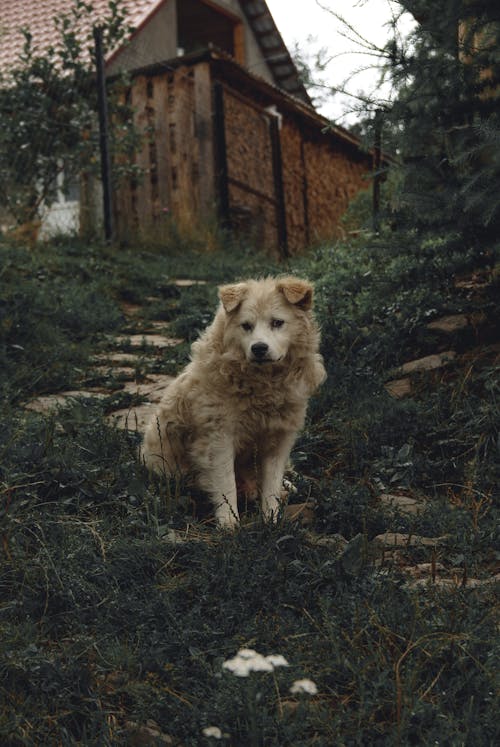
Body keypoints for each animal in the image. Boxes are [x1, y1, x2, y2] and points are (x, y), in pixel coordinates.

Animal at [143, 278, 326, 528]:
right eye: (246, 326)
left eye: (277, 323)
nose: (259, 348)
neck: (262, 384)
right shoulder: (219, 438)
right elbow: (226, 484)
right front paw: (229, 523)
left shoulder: (279, 438)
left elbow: (271, 484)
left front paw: (271, 519)